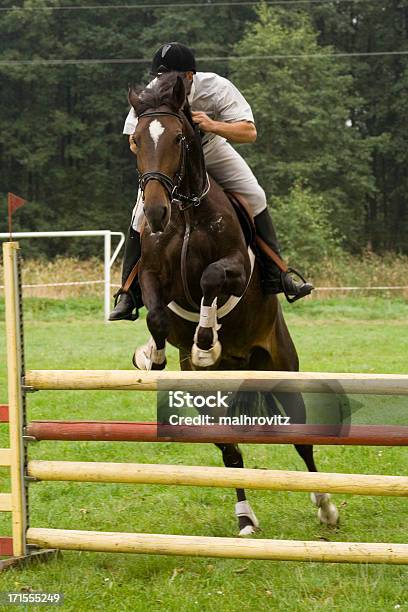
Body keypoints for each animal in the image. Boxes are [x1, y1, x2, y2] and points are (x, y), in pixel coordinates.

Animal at [127, 73, 338, 536]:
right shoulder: (151, 275)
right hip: (210, 400)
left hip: (281, 369)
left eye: (179, 138)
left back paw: (326, 506)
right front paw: (153, 356)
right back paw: (245, 518)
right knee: (230, 452)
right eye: (135, 140)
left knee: (302, 440)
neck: (186, 212)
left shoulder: (237, 269)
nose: (155, 212)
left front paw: (207, 342)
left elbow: (209, 279)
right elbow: (156, 314)